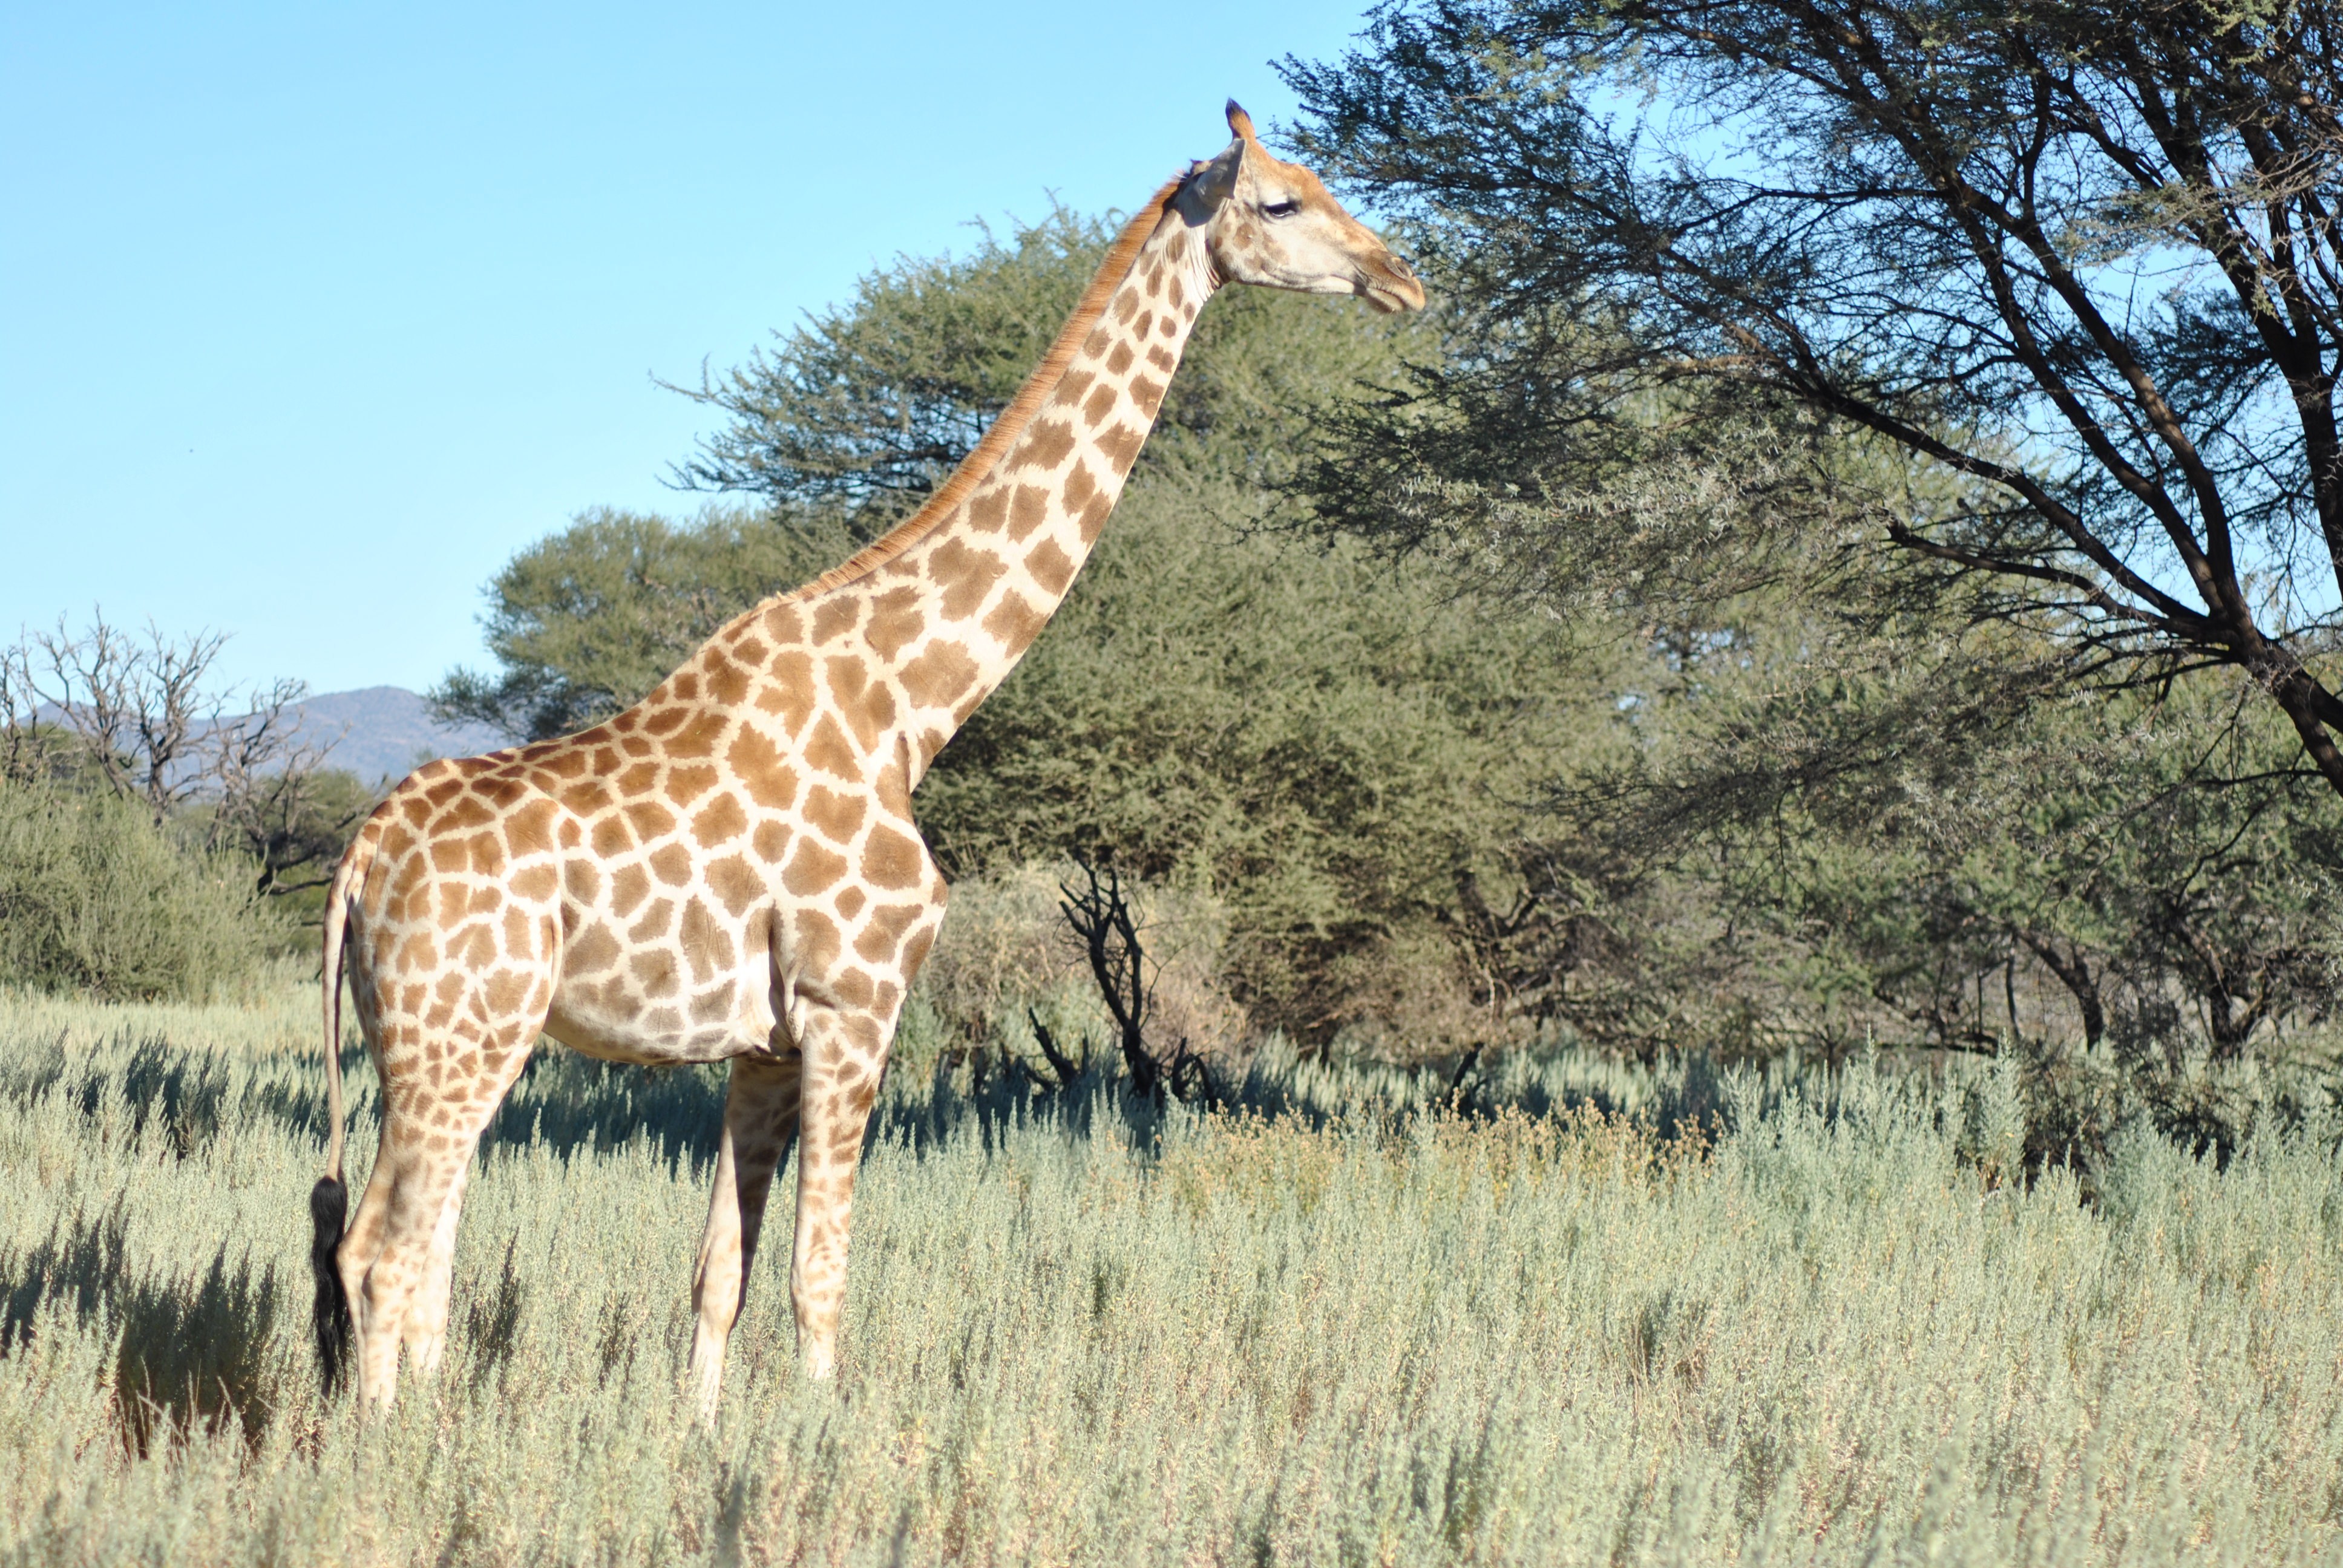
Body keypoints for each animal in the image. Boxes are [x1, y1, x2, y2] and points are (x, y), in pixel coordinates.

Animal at [311, 103, 1424, 1416]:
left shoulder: (763, 1042)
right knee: (381, 1253)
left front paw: (698, 1442)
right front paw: (812, 1448)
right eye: (1282, 200)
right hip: (462, 1034)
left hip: (433, 1043)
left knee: (416, 1250)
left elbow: (719, 1278)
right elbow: (818, 1281)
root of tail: (360, 862)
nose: (1400, 276)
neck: (909, 699)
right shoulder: (859, 1004)